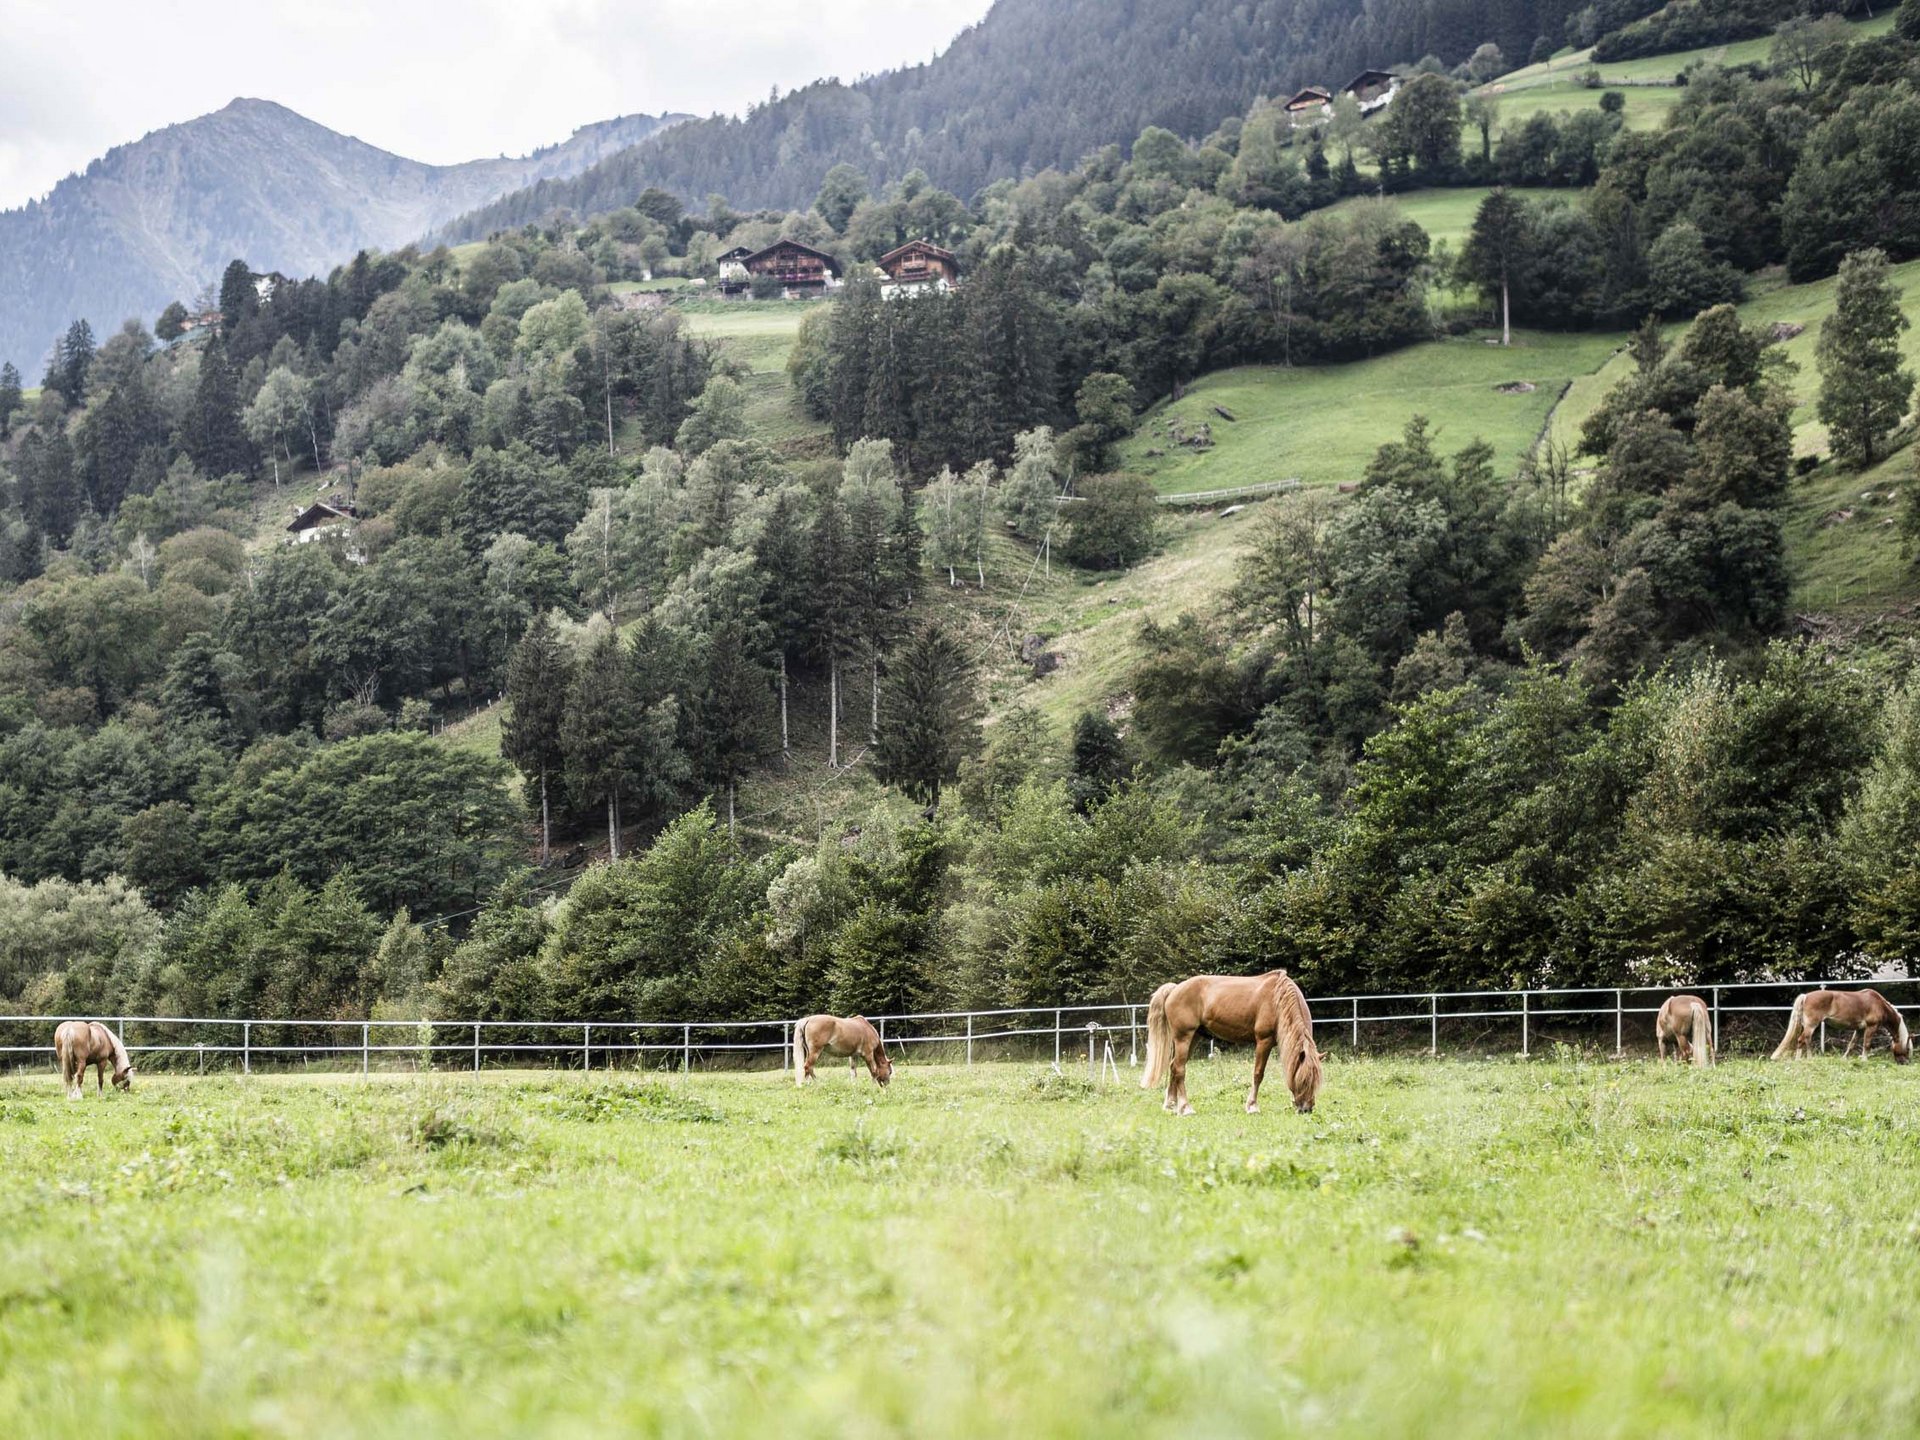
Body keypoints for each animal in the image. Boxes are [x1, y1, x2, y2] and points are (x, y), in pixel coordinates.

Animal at [1136, 975, 1320, 1121]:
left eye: (1316, 1082)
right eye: (1303, 1080)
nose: (1306, 1109)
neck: (1277, 999)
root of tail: (1175, 989)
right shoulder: (1264, 1041)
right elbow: (1258, 1074)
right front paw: (1252, 1106)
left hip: (1193, 1038)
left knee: (1174, 1067)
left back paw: (1171, 1105)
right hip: (1183, 1038)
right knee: (1179, 1069)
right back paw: (1185, 1108)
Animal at [1774, 990, 1912, 1067]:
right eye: (1907, 1049)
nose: (1906, 1063)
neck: (1879, 1004)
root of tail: (1805, 996)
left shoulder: (1859, 1029)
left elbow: (1851, 1044)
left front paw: (1844, 1059)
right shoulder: (1871, 1027)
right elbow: (1866, 1044)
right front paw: (1864, 1060)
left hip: (1810, 1027)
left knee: (1806, 1040)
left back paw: (1809, 1058)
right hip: (1811, 1026)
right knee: (1801, 1040)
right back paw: (1799, 1060)